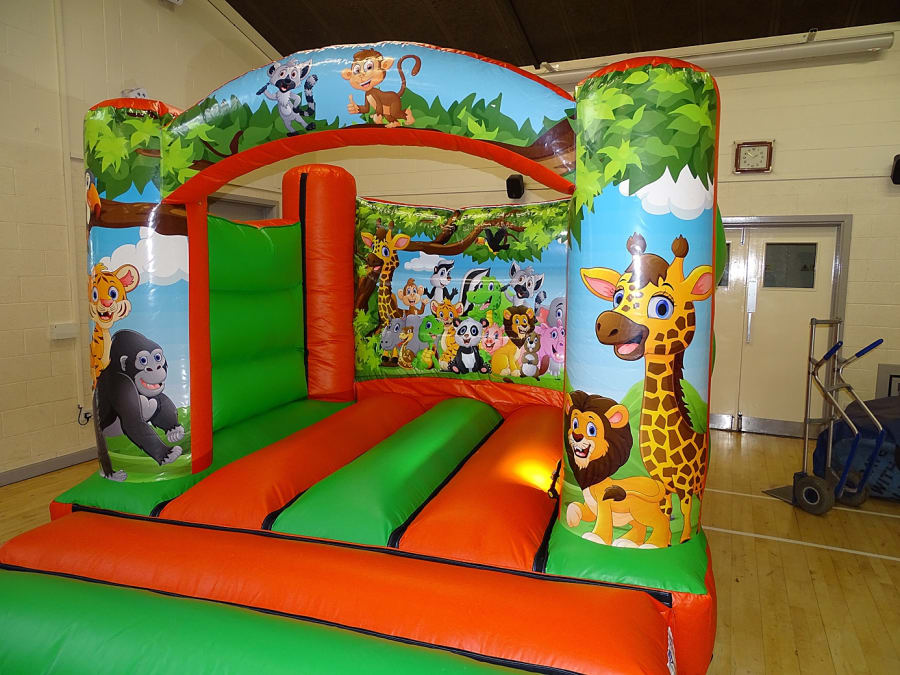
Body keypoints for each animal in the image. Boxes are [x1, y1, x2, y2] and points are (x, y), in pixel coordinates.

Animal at [580, 233, 713, 543]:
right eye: (617, 297)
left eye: (662, 307)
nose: (607, 324)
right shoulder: (660, 485)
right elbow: (662, 512)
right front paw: (649, 541)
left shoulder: (686, 486)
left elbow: (686, 516)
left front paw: (682, 541)